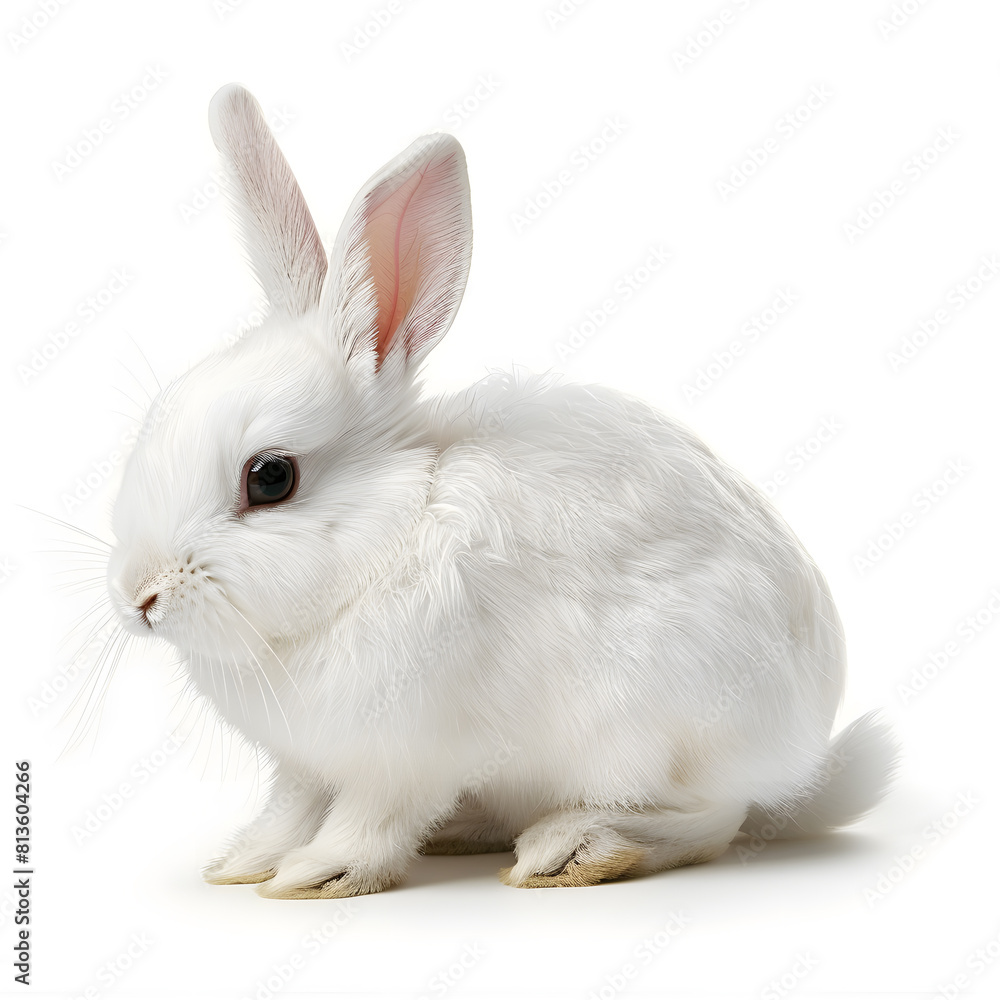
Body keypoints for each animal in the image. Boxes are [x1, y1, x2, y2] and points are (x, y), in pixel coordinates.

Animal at [105, 83, 898, 898]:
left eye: (270, 477)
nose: (138, 597)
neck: (383, 541)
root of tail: (802, 751)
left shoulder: (409, 756)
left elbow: (369, 821)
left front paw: (318, 874)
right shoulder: (303, 765)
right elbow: (289, 808)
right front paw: (242, 864)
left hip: (662, 731)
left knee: (712, 820)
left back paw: (572, 847)